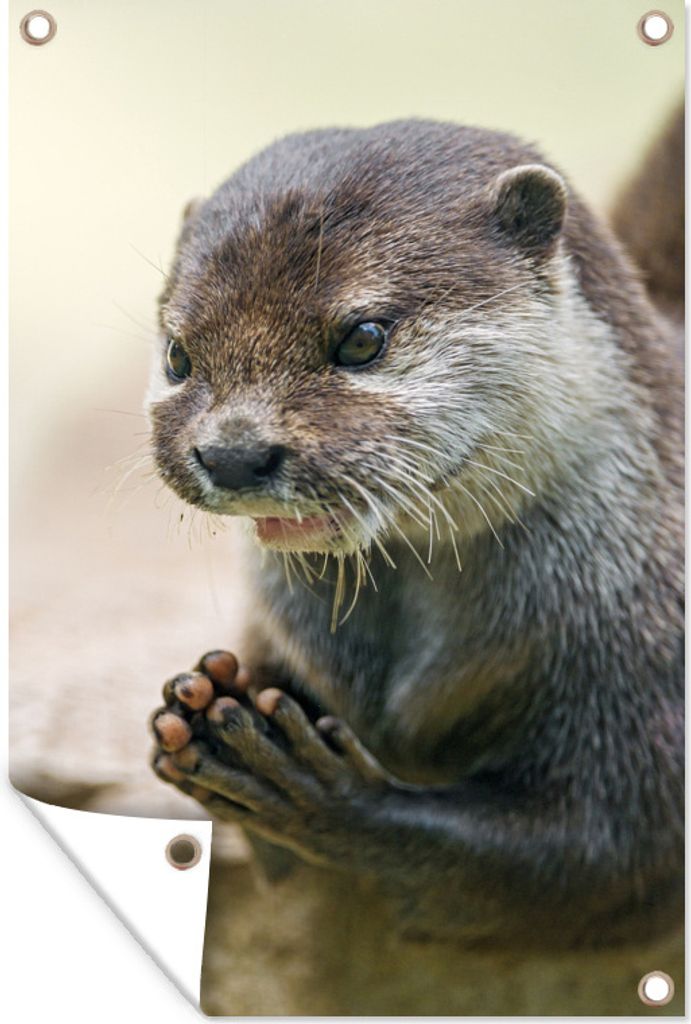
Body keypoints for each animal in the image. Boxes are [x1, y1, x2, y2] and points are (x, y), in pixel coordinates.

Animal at [148, 113, 683, 961]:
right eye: (177, 354)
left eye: (362, 338)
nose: (233, 453)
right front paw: (203, 700)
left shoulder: (648, 678)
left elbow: (607, 854)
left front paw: (321, 794)